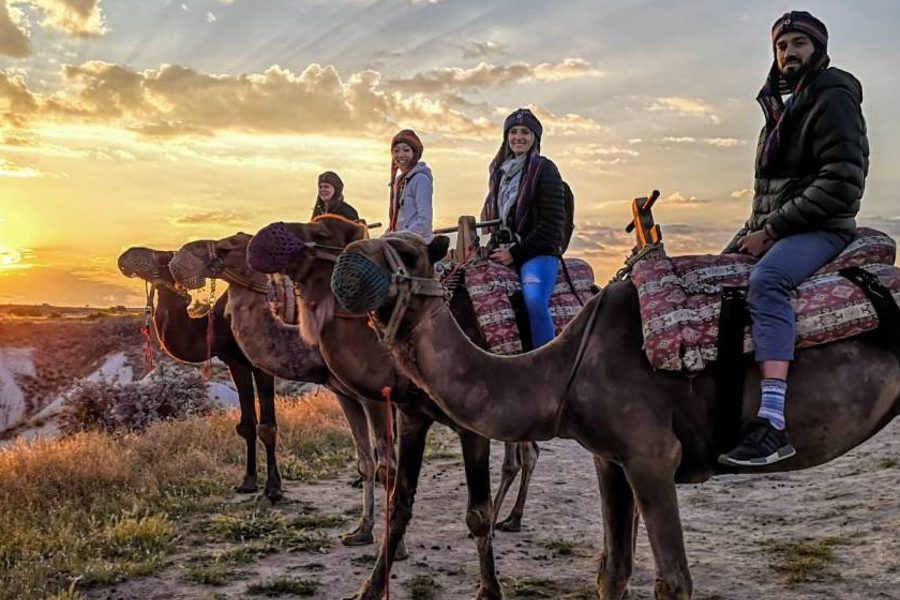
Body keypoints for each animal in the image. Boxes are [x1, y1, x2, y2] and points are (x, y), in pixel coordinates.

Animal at [118, 246, 284, 500]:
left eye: (165, 256)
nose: (128, 254)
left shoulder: (262, 364)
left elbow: (267, 427)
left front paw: (274, 487)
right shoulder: (236, 362)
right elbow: (247, 424)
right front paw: (248, 481)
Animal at [166, 237, 398, 548]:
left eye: (228, 246)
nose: (181, 257)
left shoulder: (375, 396)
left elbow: (387, 465)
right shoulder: (346, 395)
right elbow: (366, 462)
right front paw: (362, 531)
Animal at [243, 217, 536, 600]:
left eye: (321, 232)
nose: (267, 237)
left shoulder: (458, 424)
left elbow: (474, 512)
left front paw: (488, 590)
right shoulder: (408, 415)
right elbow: (398, 501)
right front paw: (369, 583)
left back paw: (510, 518)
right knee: (525, 455)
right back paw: (511, 517)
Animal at [330, 233, 900, 600]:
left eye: (408, 252)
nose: (348, 260)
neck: (563, 369)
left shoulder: (652, 457)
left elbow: (673, 582)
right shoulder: (610, 459)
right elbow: (613, 573)